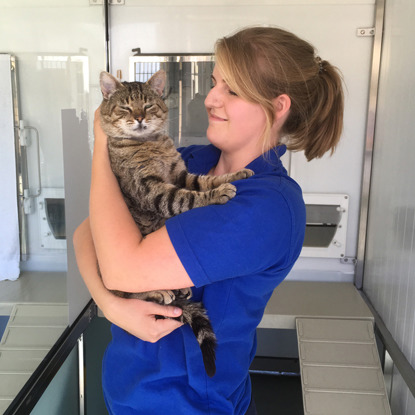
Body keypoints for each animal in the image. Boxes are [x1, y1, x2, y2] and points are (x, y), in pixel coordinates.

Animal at [99, 70, 255, 378]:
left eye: (147, 105)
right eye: (125, 108)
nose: (139, 118)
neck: (151, 143)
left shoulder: (180, 175)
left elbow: (205, 180)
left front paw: (236, 174)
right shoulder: (155, 190)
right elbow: (188, 197)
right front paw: (218, 193)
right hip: (121, 281)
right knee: (129, 295)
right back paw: (160, 291)